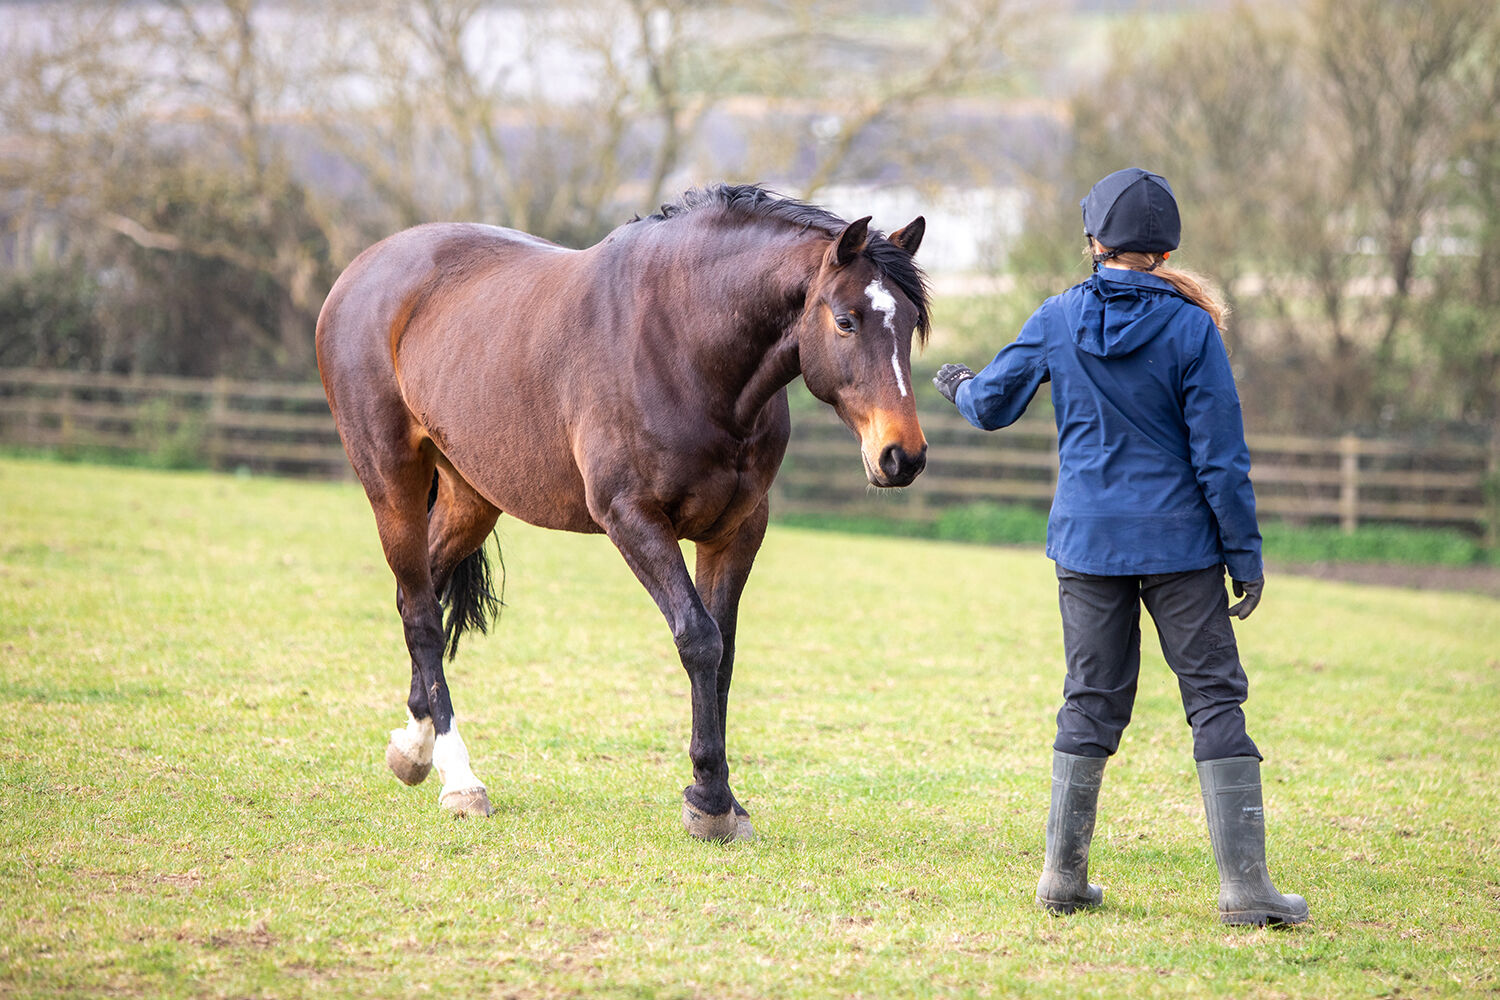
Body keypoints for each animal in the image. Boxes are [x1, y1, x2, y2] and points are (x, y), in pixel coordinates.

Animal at [315, 183, 924, 839]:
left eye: (912, 323)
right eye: (845, 320)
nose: (902, 456)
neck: (687, 345)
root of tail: (361, 271)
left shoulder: (736, 531)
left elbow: (725, 653)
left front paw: (725, 799)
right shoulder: (632, 517)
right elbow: (699, 640)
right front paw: (709, 800)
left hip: (470, 497)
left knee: (418, 592)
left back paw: (413, 747)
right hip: (392, 484)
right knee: (423, 615)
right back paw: (461, 779)